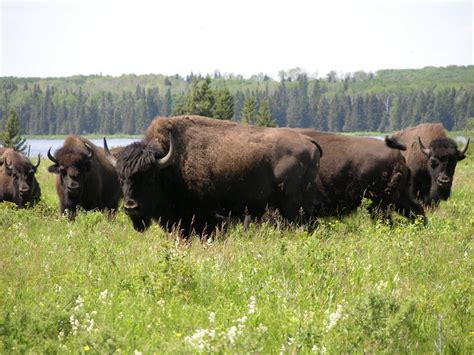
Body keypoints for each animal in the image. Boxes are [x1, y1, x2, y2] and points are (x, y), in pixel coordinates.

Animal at [105, 115, 324, 235]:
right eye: (121, 179)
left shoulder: (207, 219)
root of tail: (309, 141)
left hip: (292, 206)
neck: (169, 164)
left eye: (150, 178)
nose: (131, 207)